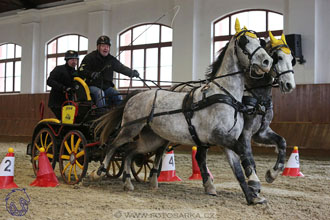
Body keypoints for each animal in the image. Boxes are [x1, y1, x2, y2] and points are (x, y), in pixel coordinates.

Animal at [93, 18, 274, 205]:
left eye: (259, 42)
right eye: (245, 41)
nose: (268, 61)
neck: (224, 95)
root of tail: (135, 95)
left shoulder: (227, 142)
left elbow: (238, 170)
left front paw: (252, 197)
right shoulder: (219, 137)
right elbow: (243, 152)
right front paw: (255, 183)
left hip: (152, 139)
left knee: (130, 151)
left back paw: (128, 183)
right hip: (130, 128)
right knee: (114, 145)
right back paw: (100, 171)